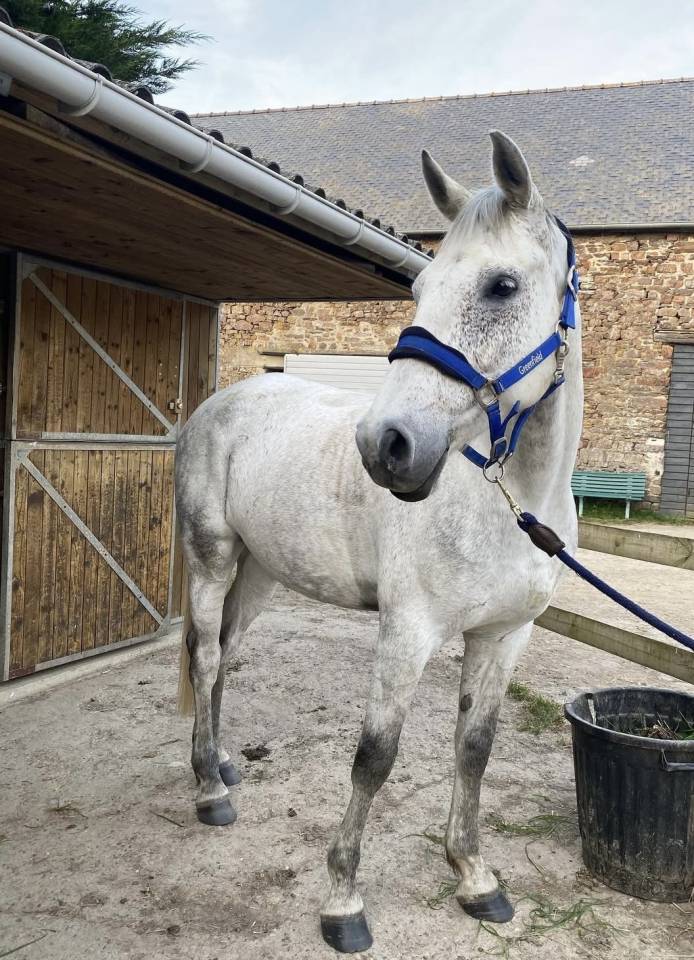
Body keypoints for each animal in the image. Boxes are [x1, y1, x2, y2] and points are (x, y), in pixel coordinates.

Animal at [174, 130, 583, 953]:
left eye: (501, 287)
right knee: (204, 658)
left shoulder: (504, 637)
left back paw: (224, 765)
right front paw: (343, 902)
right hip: (212, 561)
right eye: (418, 288)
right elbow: (374, 758)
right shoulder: (409, 633)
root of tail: (225, 402)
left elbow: (474, 750)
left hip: (259, 575)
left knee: (225, 656)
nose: (385, 445)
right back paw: (207, 791)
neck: (510, 506)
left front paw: (475, 878)